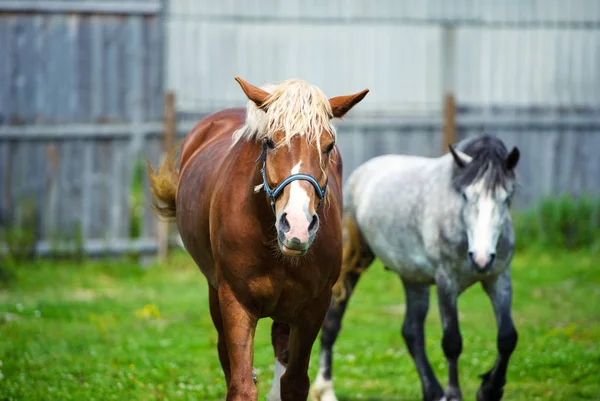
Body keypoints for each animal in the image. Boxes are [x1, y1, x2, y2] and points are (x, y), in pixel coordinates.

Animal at [148, 78, 368, 400]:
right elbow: (241, 384)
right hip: (214, 291)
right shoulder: (236, 302)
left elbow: (295, 382)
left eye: (329, 146)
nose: (297, 226)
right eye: (269, 142)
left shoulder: (314, 306)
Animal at [312, 135, 516, 400]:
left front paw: (490, 389)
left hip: (414, 280)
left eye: (507, 198)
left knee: (412, 332)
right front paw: (454, 394)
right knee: (332, 322)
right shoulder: (446, 281)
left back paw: (433, 391)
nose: (481, 259)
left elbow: (507, 337)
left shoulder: (499, 278)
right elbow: (452, 342)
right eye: (465, 196)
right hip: (352, 262)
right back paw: (325, 389)